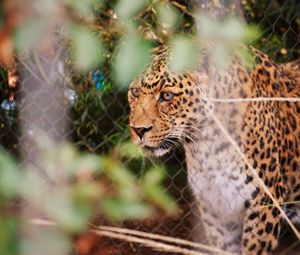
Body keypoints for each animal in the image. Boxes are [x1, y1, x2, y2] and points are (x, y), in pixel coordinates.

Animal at [127, 43, 300, 253]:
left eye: (167, 96)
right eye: (135, 92)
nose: (138, 130)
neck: (206, 145)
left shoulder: (265, 202)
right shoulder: (214, 204)